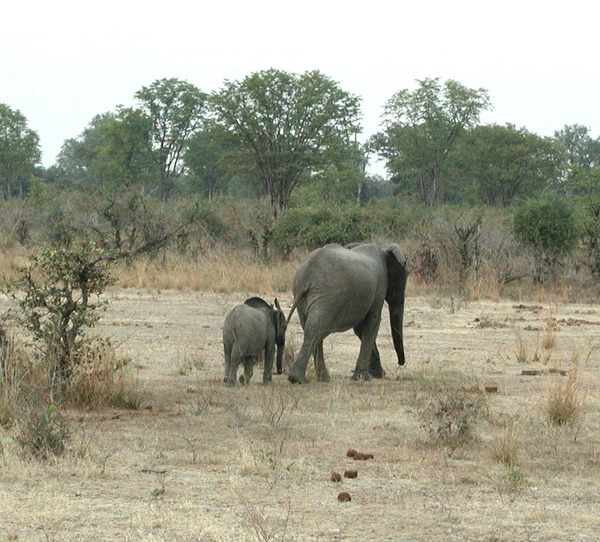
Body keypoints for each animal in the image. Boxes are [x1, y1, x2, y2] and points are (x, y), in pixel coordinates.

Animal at [286, 244, 408, 384]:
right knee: (316, 329)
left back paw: (321, 379)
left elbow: (360, 329)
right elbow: (373, 322)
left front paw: (374, 375)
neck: (384, 250)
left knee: (312, 328)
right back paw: (300, 379)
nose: (400, 363)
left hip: (304, 296)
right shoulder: (380, 285)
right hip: (328, 295)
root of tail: (306, 276)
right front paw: (364, 378)